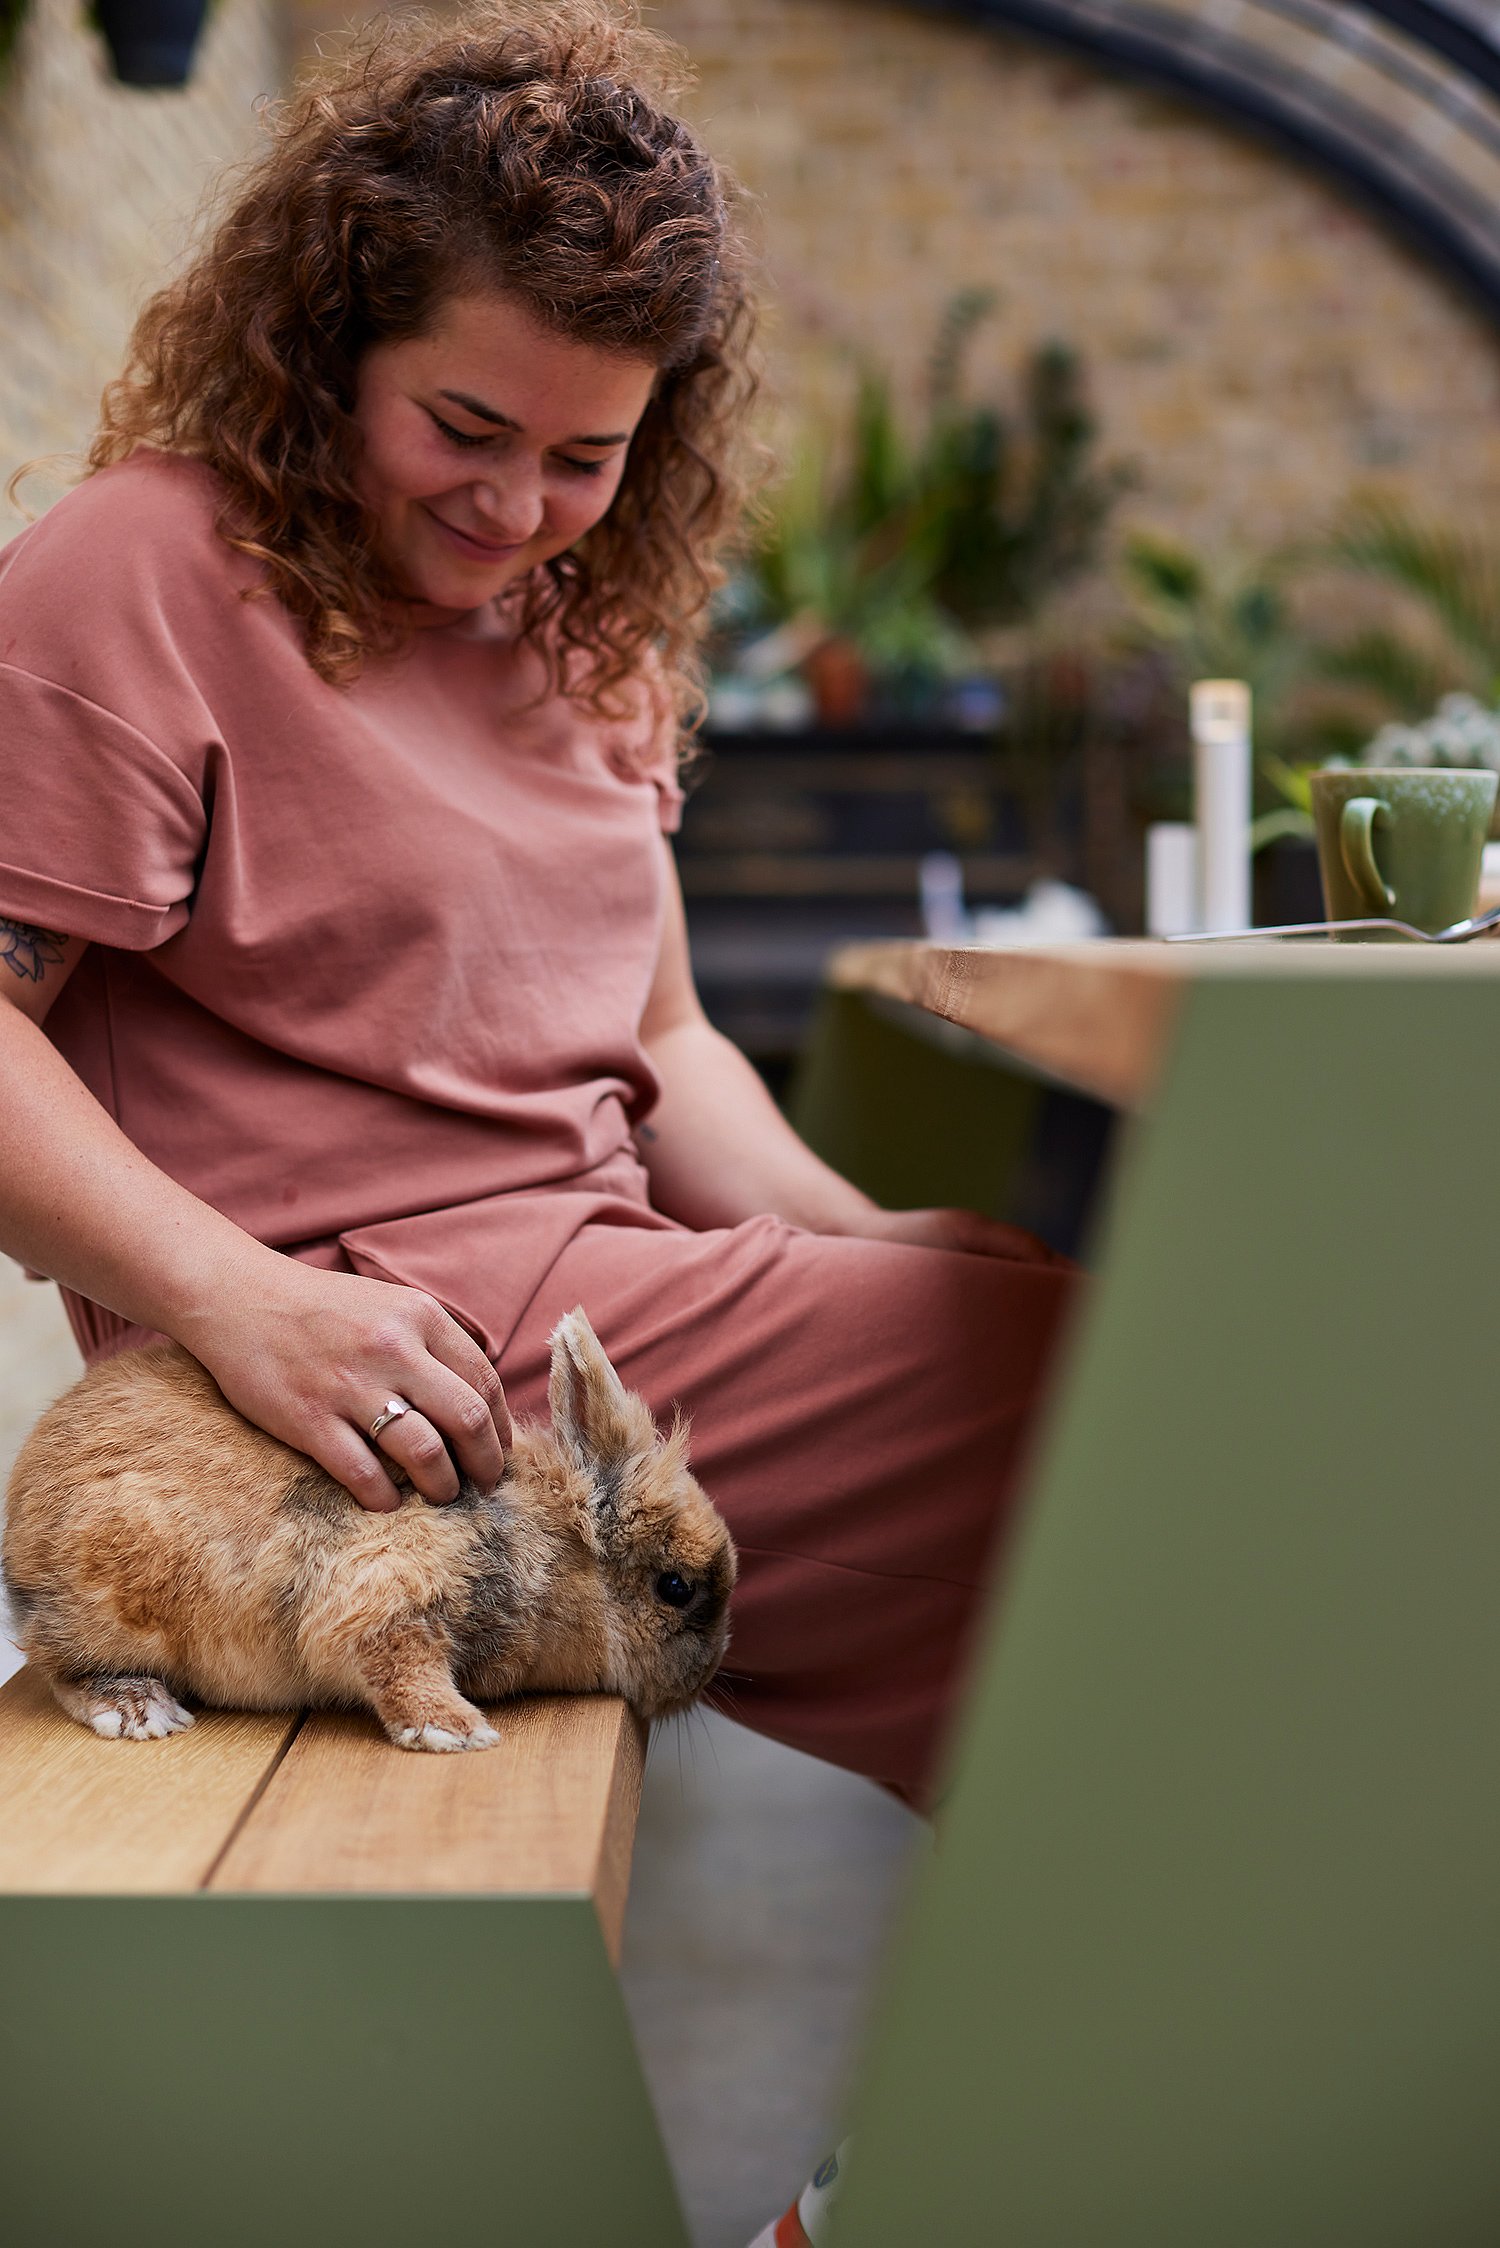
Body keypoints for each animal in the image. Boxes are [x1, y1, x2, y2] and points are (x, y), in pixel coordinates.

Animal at [2, 1306, 736, 1751]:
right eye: (676, 1588)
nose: (703, 1678)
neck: (540, 1545)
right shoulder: (383, 1592)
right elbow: (395, 1664)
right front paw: (456, 1733)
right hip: (113, 1604)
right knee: (58, 1666)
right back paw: (139, 1709)